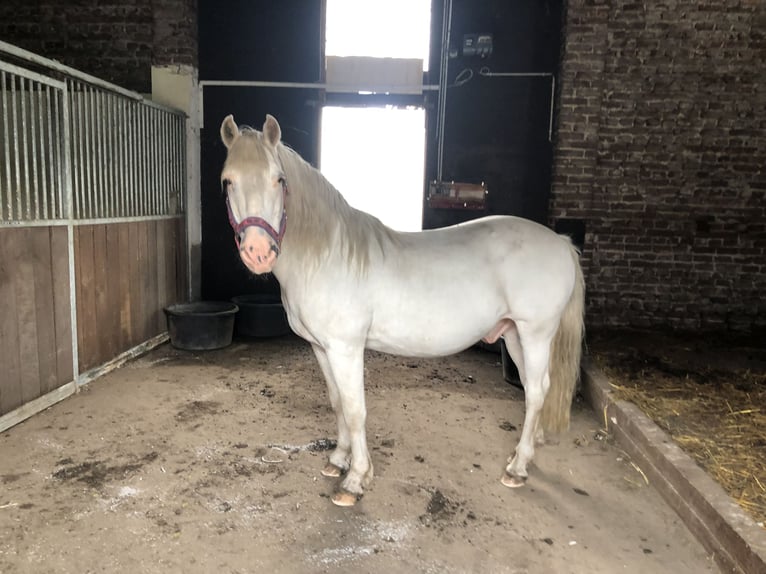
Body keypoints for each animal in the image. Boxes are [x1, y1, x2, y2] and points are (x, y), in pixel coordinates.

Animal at [219, 114, 585, 507]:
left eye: (279, 179)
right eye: (228, 181)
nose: (258, 252)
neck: (328, 254)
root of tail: (561, 242)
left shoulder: (346, 349)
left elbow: (355, 409)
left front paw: (355, 480)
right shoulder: (321, 348)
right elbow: (337, 403)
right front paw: (337, 460)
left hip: (536, 334)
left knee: (537, 391)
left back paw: (516, 470)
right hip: (514, 335)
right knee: (534, 390)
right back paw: (520, 457)